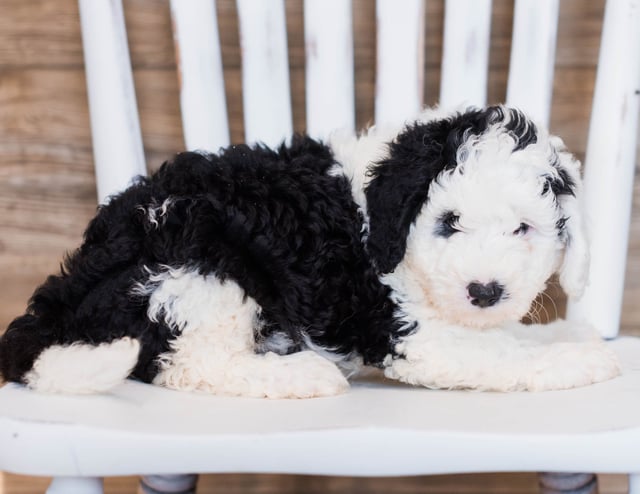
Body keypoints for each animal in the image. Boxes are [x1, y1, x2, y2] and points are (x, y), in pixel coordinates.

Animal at [0, 107, 620, 398]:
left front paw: (567, 335)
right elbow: (500, 356)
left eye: (524, 229)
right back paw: (300, 375)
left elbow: (509, 338)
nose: (485, 292)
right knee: (189, 364)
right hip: (199, 269)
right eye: (448, 224)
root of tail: (60, 298)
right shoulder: (407, 329)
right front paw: (580, 361)